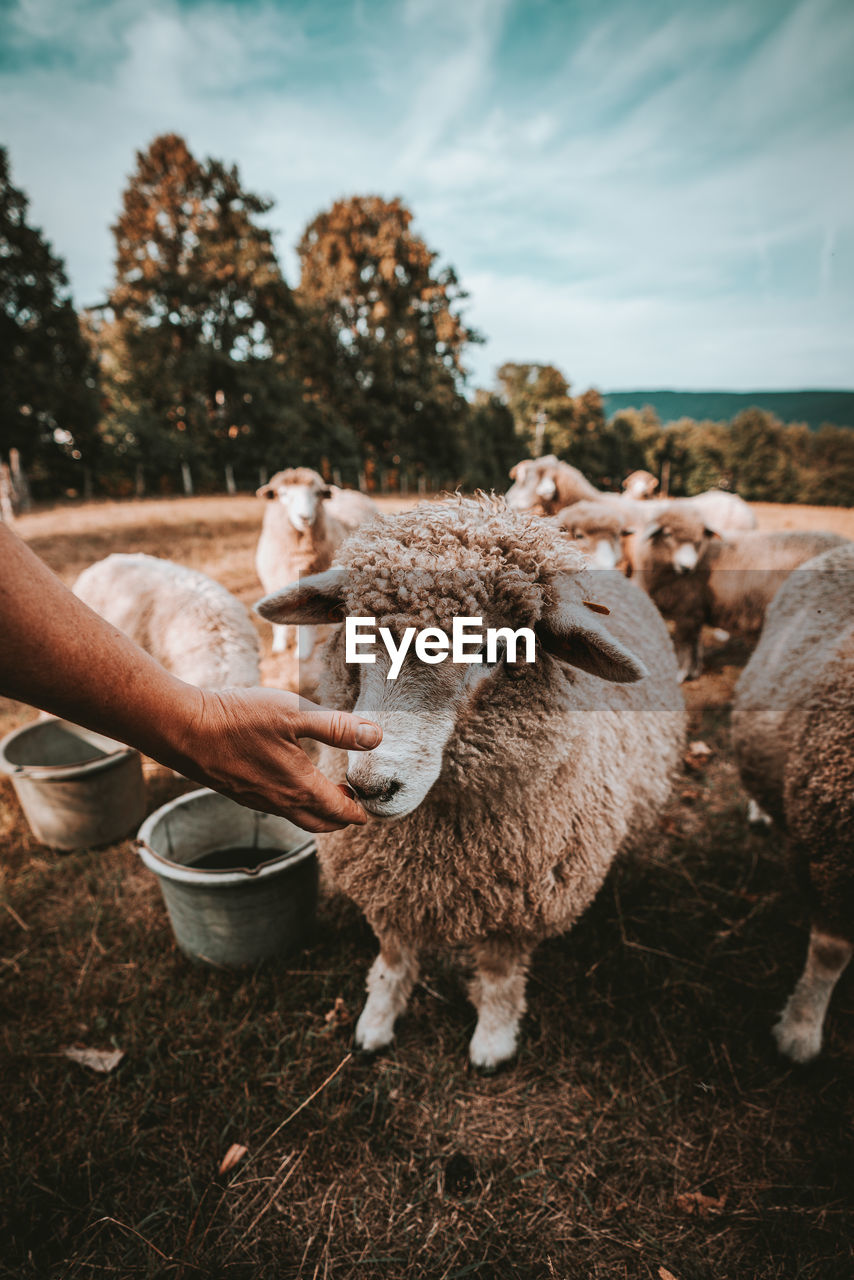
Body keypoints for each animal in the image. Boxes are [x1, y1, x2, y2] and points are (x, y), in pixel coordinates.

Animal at [256, 471, 378, 660]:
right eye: (283, 494)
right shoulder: (273, 581)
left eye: (317, 493)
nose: (304, 517)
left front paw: (303, 651)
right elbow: (280, 624)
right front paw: (279, 646)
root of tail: (349, 491)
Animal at [256, 496, 686, 1070]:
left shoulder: (521, 905)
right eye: (352, 636)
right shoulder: (389, 888)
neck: (443, 850)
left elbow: (501, 976)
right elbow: (394, 958)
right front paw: (377, 1020)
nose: (371, 786)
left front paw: (493, 1040)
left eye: (494, 652)